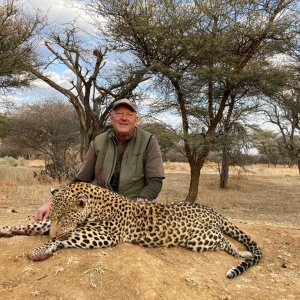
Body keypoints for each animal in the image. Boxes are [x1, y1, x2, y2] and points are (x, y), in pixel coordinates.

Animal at [0, 183, 262, 278]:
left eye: (64, 217)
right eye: (53, 215)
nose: (54, 233)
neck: (95, 206)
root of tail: (212, 210)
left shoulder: (102, 235)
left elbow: (69, 236)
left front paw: (41, 249)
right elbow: (33, 226)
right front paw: (6, 229)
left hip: (199, 238)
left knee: (223, 240)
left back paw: (242, 253)